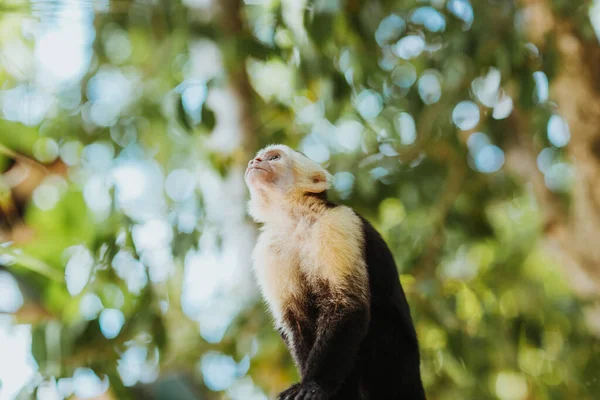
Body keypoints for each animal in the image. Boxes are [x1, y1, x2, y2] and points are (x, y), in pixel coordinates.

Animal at [245, 145, 426, 400]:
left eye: (274, 157)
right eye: (260, 158)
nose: (254, 162)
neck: (295, 219)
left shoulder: (337, 222)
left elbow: (347, 305)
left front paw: (313, 385)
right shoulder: (268, 249)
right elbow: (293, 320)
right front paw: (307, 384)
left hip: (401, 364)